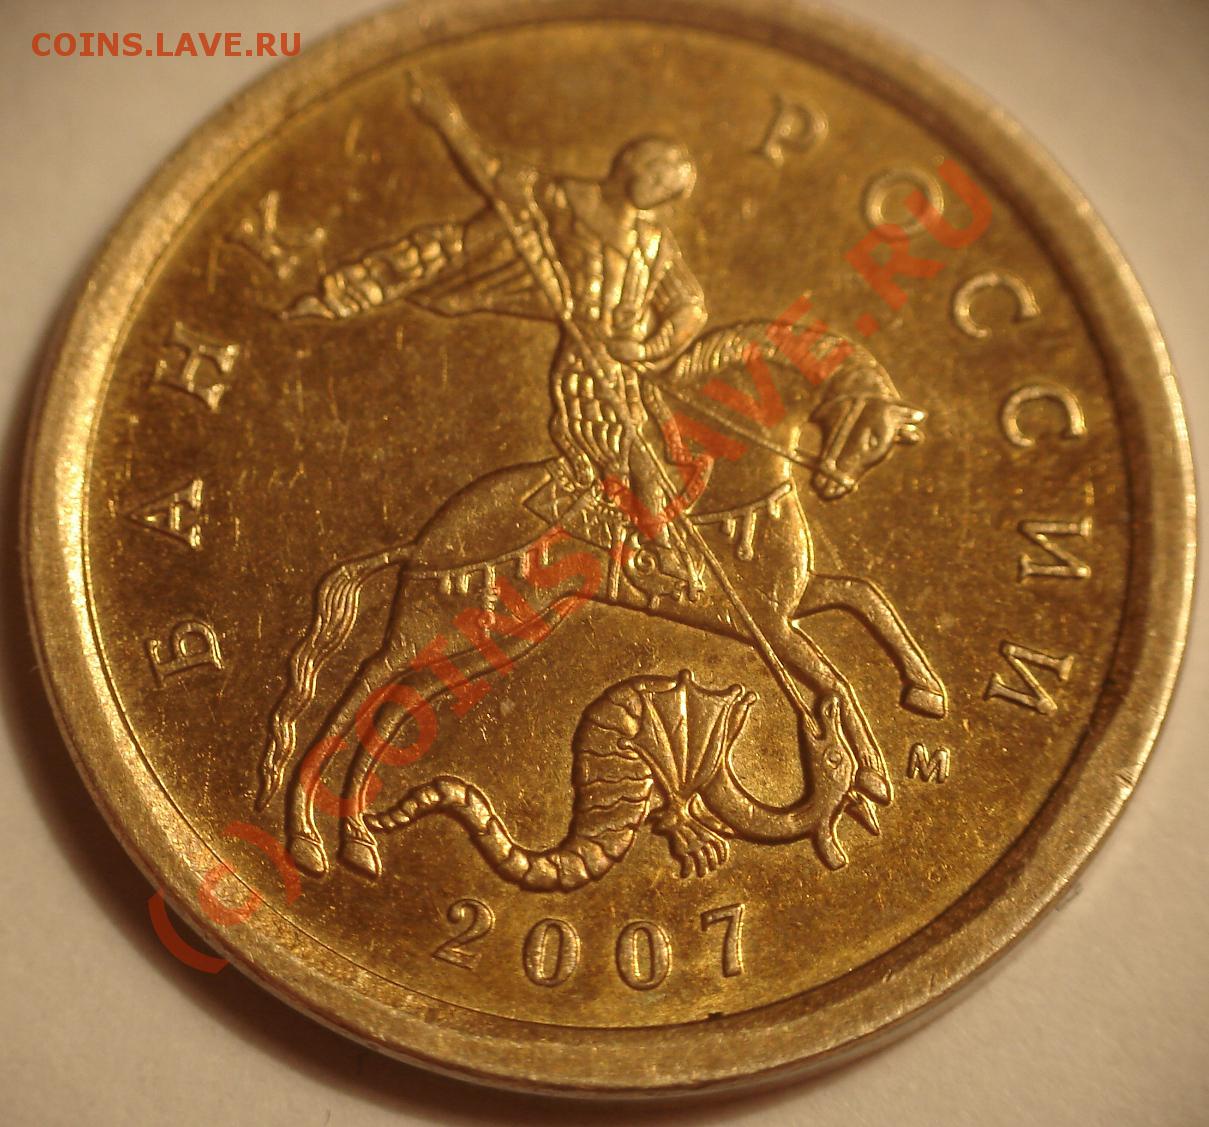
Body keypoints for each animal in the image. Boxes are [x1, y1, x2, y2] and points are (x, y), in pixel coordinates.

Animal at [256, 321, 947, 879]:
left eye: (881, 443)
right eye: (868, 431)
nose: (836, 485)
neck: (732, 470)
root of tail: (425, 539)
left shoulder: (788, 604)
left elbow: (865, 599)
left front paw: (922, 696)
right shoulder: (770, 622)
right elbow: (837, 679)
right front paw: (873, 772)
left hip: (493, 638)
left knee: (396, 709)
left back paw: (357, 840)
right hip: (433, 628)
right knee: (360, 693)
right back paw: (307, 838)